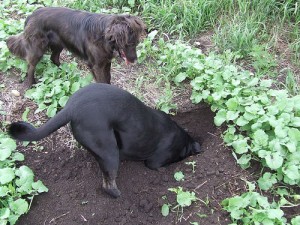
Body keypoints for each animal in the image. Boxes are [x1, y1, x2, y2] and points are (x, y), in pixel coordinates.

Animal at [6, 7, 147, 88]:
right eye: (130, 44)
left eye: (136, 43)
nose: (135, 60)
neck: (104, 36)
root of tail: (30, 16)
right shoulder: (96, 65)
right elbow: (102, 81)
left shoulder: (106, 62)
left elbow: (108, 79)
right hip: (37, 48)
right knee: (31, 66)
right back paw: (30, 84)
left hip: (59, 43)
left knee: (53, 58)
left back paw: (64, 72)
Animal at [8, 82, 202, 197]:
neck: (182, 139)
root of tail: (71, 107)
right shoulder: (155, 162)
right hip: (109, 152)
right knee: (107, 184)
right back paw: (118, 195)